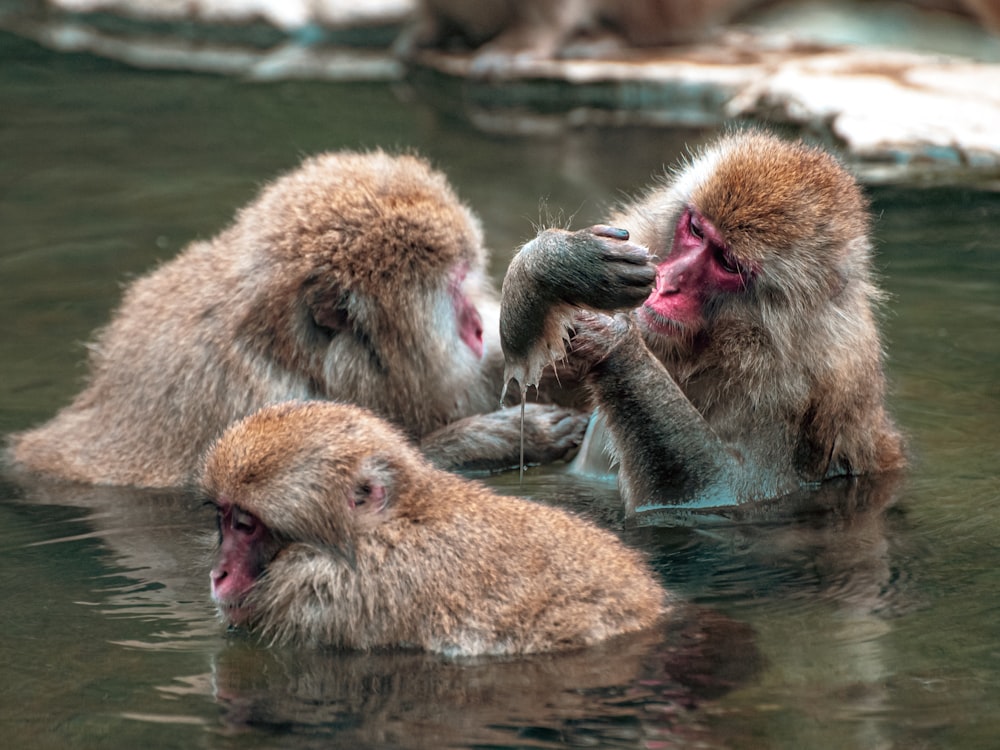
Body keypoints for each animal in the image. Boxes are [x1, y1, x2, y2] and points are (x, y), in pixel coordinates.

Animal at [7, 151, 584, 490]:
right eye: (454, 290)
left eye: (468, 279)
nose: (478, 327)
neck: (290, 354)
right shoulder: (250, 403)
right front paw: (496, 439)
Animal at [500, 132, 908, 516]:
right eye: (696, 229)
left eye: (727, 262)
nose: (666, 283)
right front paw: (556, 264)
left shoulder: (797, 392)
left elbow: (721, 490)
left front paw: (614, 340)